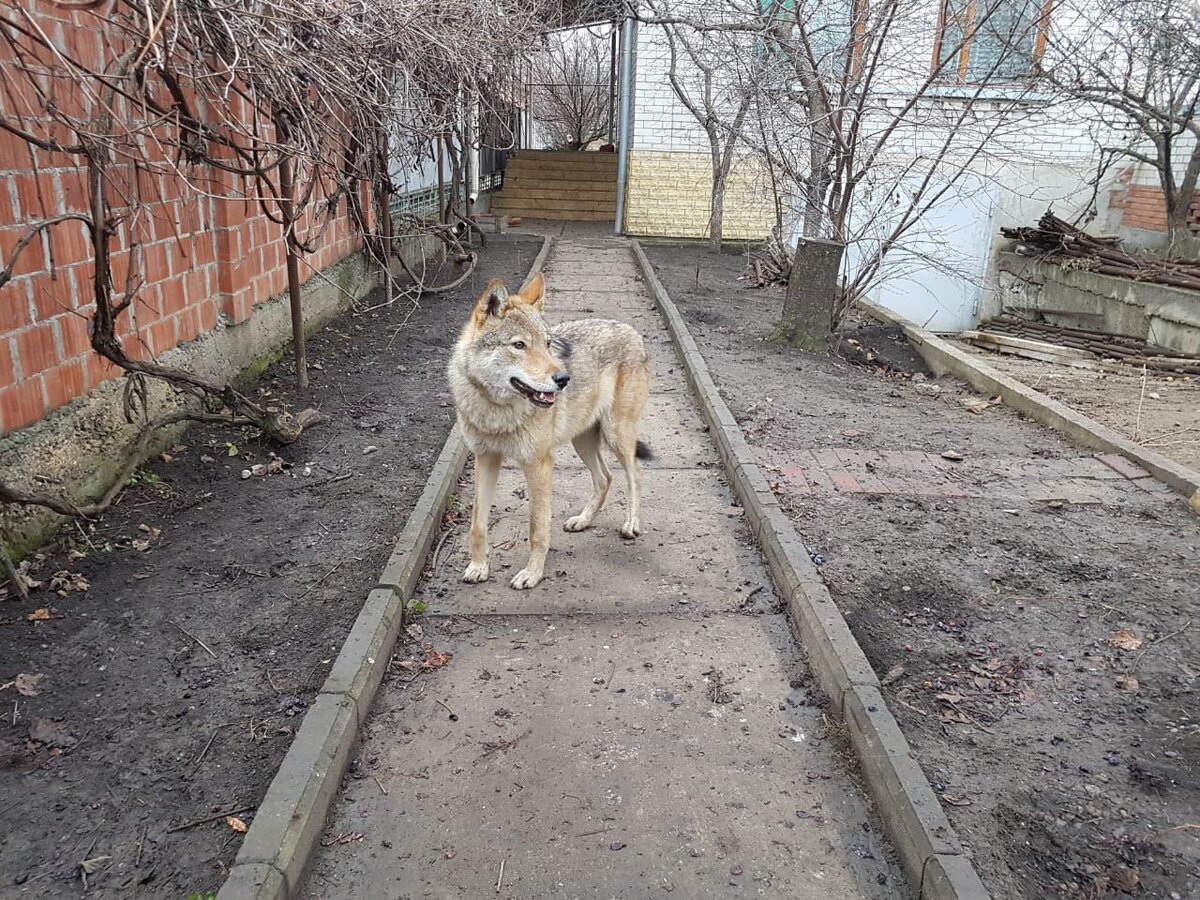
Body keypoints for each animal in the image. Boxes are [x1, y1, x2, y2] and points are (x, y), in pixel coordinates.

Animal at [448, 273, 652, 592]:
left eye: (547, 344)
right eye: (519, 345)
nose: (563, 378)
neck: (496, 410)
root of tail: (631, 330)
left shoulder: (539, 464)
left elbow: (537, 529)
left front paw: (532, 574)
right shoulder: (486, 458)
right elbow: (477, 523)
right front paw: (478, 567)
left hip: (617, 435)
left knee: (636, 474)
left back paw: (631, 524)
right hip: (582, 441)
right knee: (605, 478)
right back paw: (582, 520)